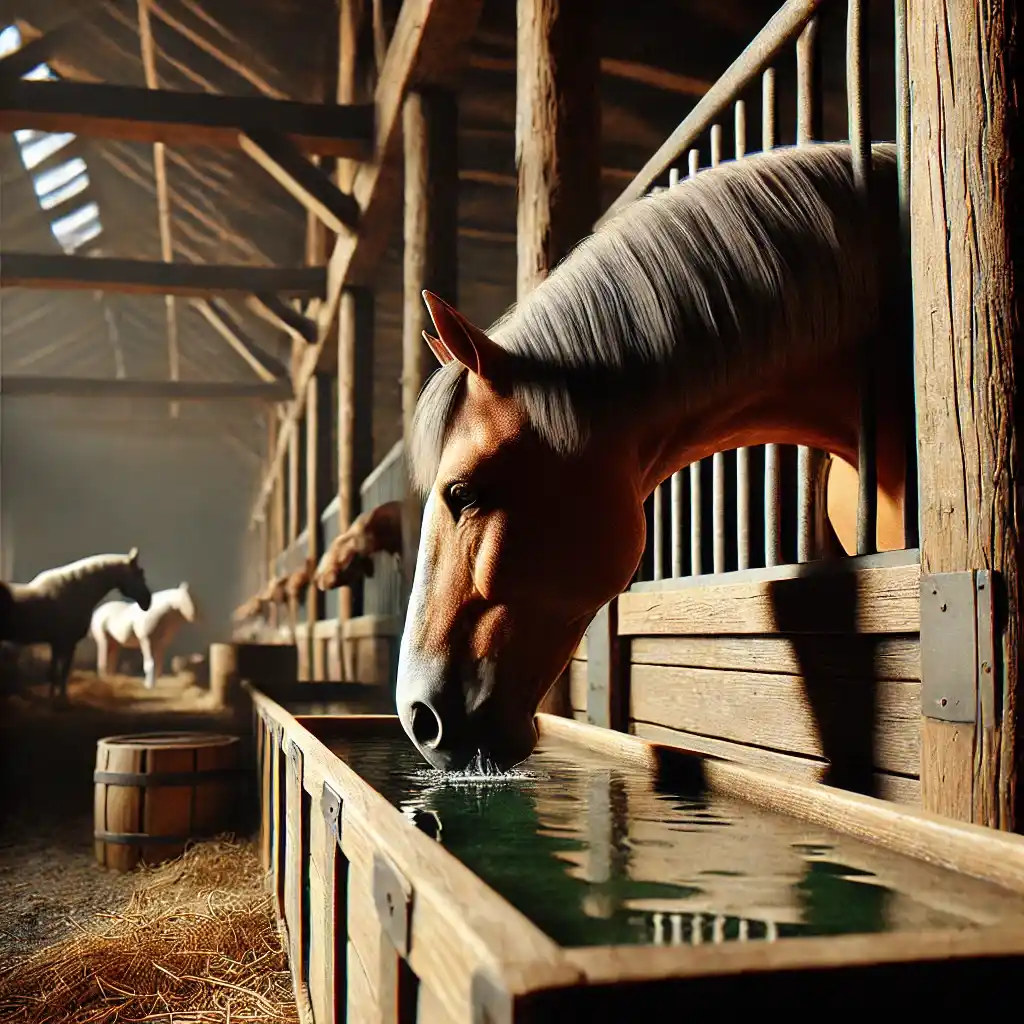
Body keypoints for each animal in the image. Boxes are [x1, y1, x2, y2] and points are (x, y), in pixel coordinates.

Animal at [0, 552, 151, 704]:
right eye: (138, 573)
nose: (147, 601)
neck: (74, 592)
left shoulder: (56, 644)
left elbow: (54, 673)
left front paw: (52, 699)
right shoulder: (69, 643)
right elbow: (63, 673)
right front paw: (62, 700)